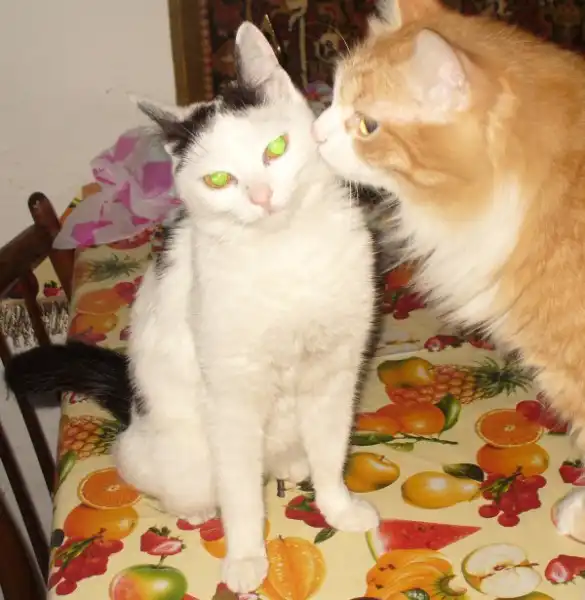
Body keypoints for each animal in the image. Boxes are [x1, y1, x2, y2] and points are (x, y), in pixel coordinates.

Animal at [5, 22, 379, 593]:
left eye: (275, 149)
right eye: (219, 180)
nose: (262, 196)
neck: (286, 254)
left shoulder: (336, 372)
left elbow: (332, 451)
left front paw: (338, 506)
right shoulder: (230, 396)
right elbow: (241, 494)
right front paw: (246, 557)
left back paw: (293, 465)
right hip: (175, 455)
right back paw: (200, 509)